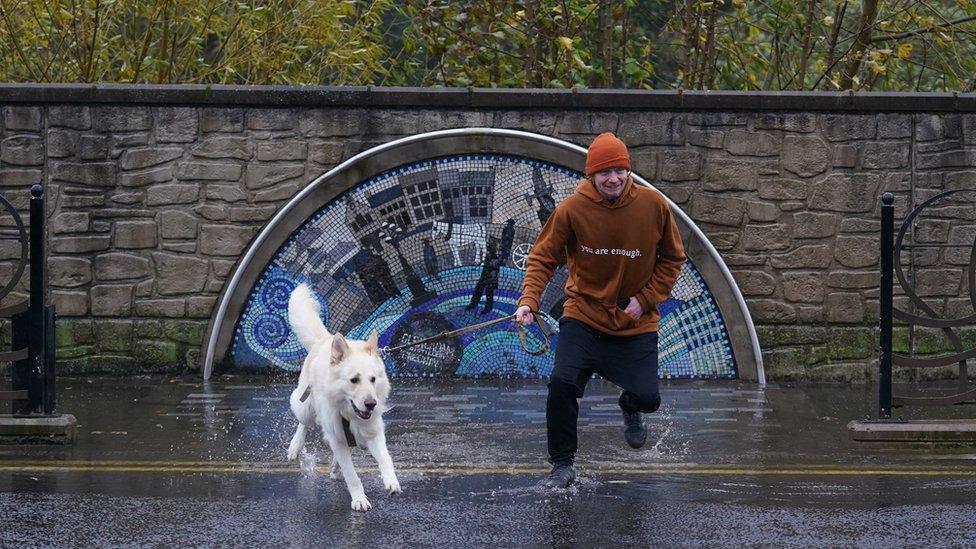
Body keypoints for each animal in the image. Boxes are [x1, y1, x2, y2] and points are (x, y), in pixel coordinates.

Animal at [286, 282, 400, 510]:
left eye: (373, 379)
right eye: (354, 380)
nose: (371, 404)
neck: (348, 412)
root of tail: (325, 340)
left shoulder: (373, 432)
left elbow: (385, 459)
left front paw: (391, 481)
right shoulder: (337, 435)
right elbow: (352, 476)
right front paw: (359, 499)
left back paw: (334, 466)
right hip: (306, 408)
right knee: (303, 422)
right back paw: (295, 447)